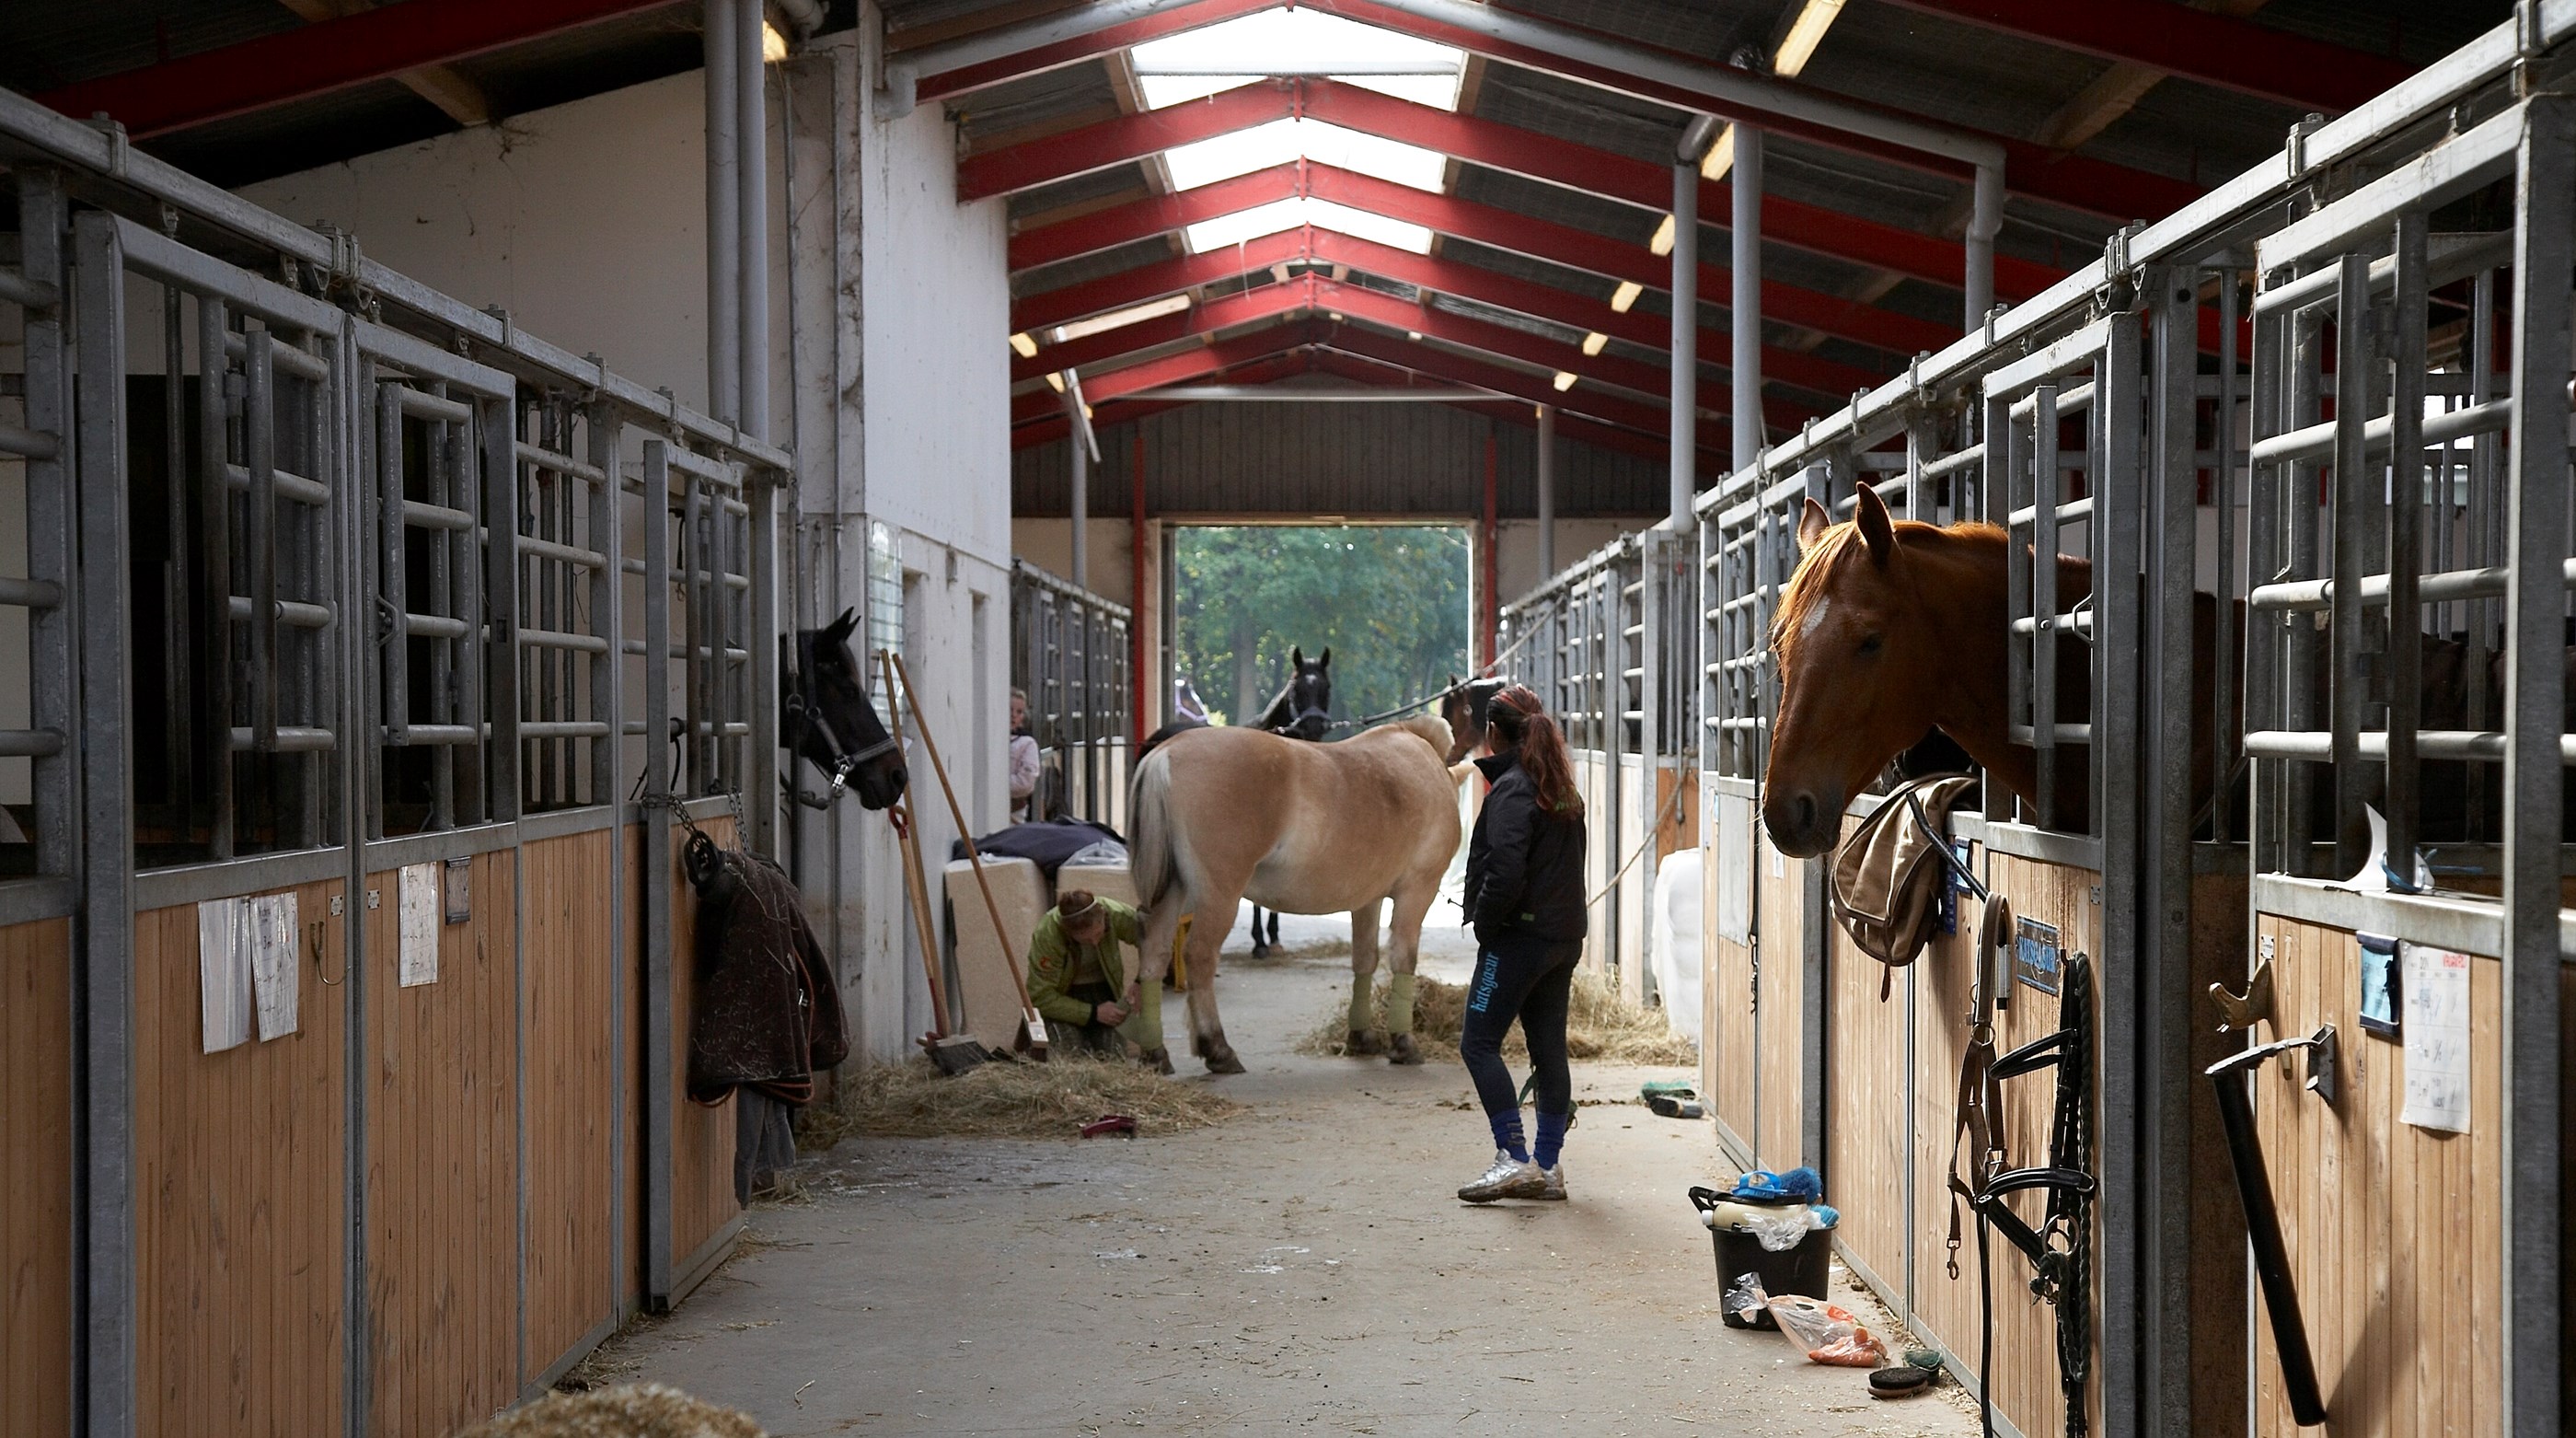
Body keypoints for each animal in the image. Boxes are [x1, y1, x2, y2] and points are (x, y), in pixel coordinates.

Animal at [1128, 715, 1461, 1072]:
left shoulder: (1367, 900)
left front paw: (1362, 1037)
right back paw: (1217, 1048)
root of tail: (1165, 752)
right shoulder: (1417, 890)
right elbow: (1403, 959)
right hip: (1219, 896)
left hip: (1173, 891)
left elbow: (1364, 959)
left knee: (1154, 951)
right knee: (1200, 956)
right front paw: (1403, 1043)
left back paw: (1155, 1052)